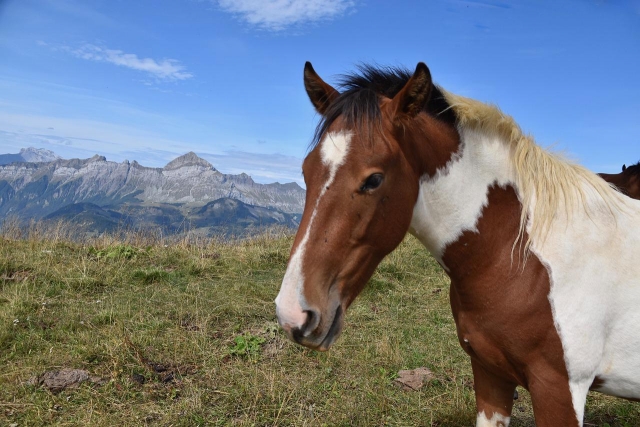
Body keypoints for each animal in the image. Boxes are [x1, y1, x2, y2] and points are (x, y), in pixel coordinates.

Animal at [275, 62, 640, 426]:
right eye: (306, 171)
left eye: (373, 179)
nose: (293, 312)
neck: (521, 258)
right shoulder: (490, 374)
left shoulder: (559, 390)